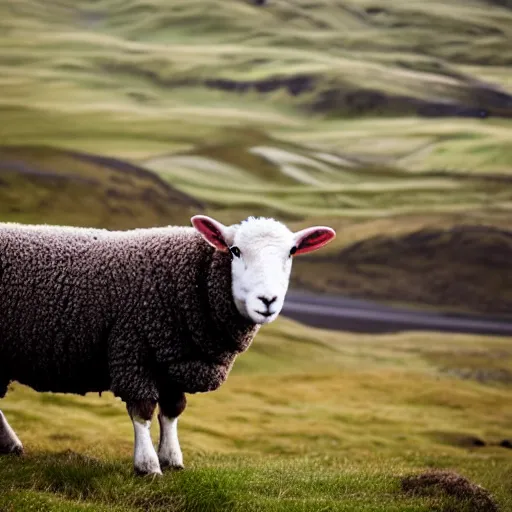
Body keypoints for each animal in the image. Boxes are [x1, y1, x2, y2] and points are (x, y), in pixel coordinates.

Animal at [0, 214, 336, 474]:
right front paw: (147, 465)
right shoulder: (132, 349)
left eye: (292, 251)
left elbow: (173, 410)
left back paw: (9, 445)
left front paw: (172, 458)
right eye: (235, 250)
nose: (267, 300)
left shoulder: (174, 359)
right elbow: (143, 411)